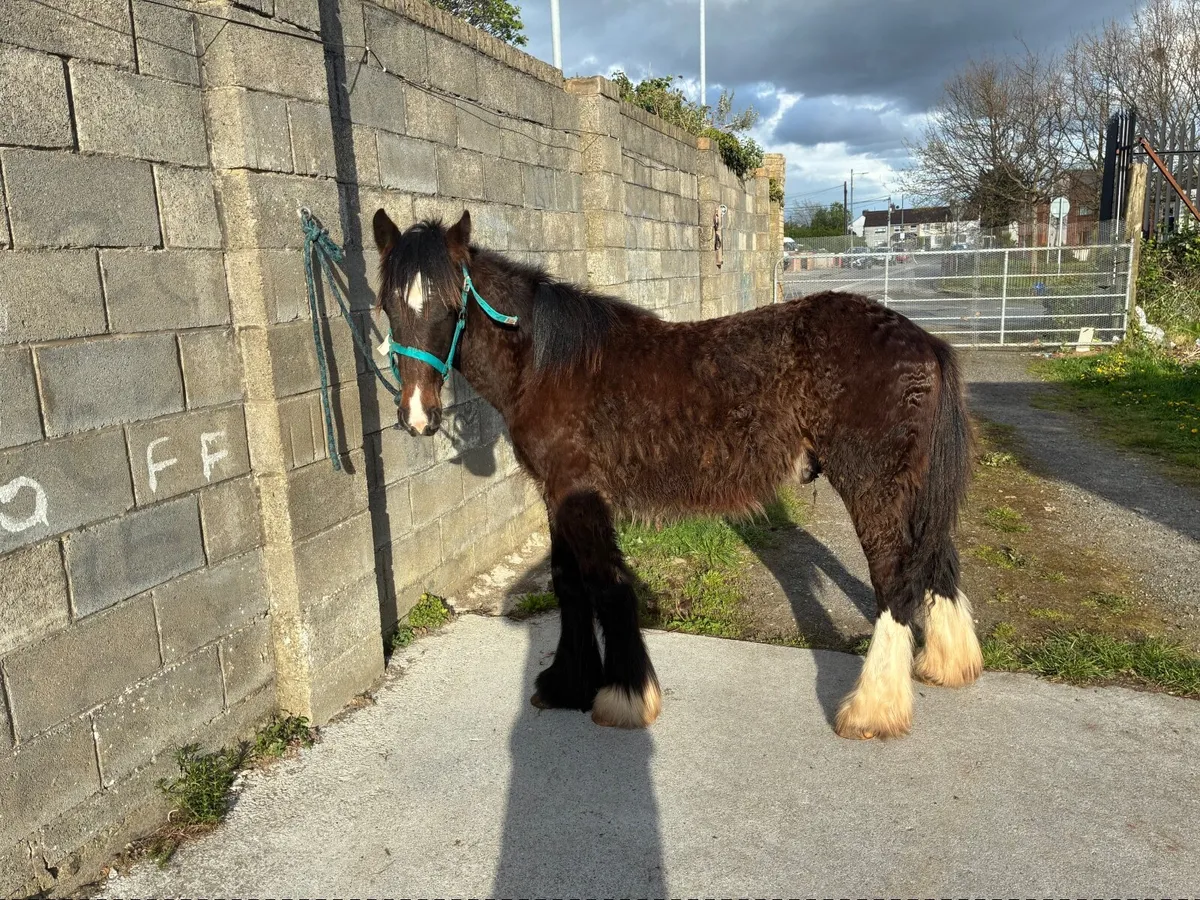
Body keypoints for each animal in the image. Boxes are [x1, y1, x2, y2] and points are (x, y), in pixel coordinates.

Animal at [371, 208, 982, 740]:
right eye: (386, 304)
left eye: (451, 303)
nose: (418, 416)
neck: (550, 363)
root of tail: (925, 341)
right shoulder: (556, 494)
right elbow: (569, 584)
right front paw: (568, 685)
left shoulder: (579, 492)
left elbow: (606, 585)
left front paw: (624, 697)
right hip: (912, 491)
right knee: (937, 558)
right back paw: (947, 665)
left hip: (872, 484)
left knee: (895, 580)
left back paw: (871, 711)